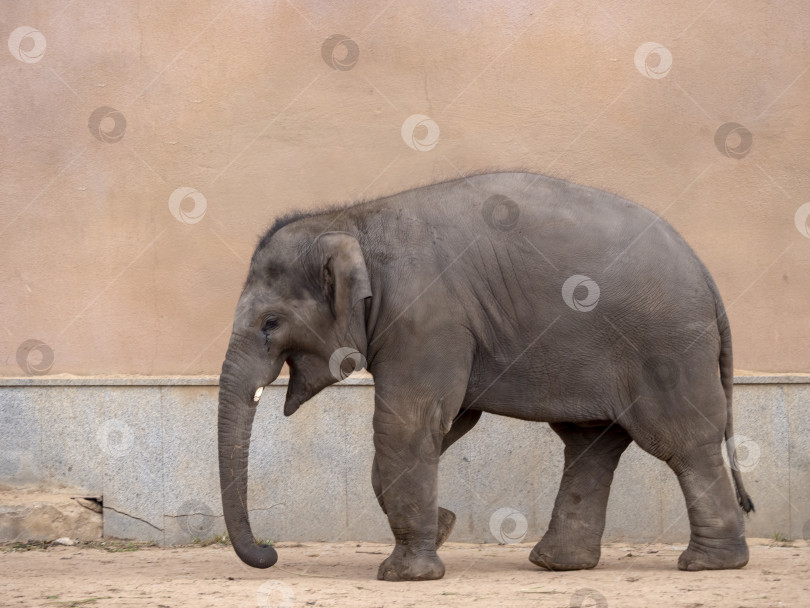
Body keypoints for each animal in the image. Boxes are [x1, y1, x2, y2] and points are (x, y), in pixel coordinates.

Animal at [215, 170, 752, 580]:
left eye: (269, 323)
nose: (269, 552)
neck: (351, 221)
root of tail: (708, 278)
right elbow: (448, 422)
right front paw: (444, 526)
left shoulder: (426, 319)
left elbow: (409, 423)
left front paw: (406, 575)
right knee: (590, 444)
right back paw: (558, 564)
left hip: (666, 348)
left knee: (682, 442)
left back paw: (708, 565)